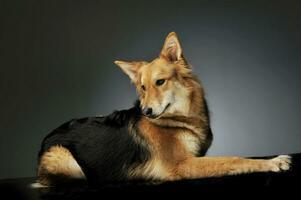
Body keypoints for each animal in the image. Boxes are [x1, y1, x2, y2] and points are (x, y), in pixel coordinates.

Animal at [34, 31, 290, 188]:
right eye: (143, 87)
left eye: (160, 82)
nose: (146, 111)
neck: (178, 119)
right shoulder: (182, 165)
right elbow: (233, 160)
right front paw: (274, 162)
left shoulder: (195, 157)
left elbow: (242, 156)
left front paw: (270, 158)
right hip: (67, 161)